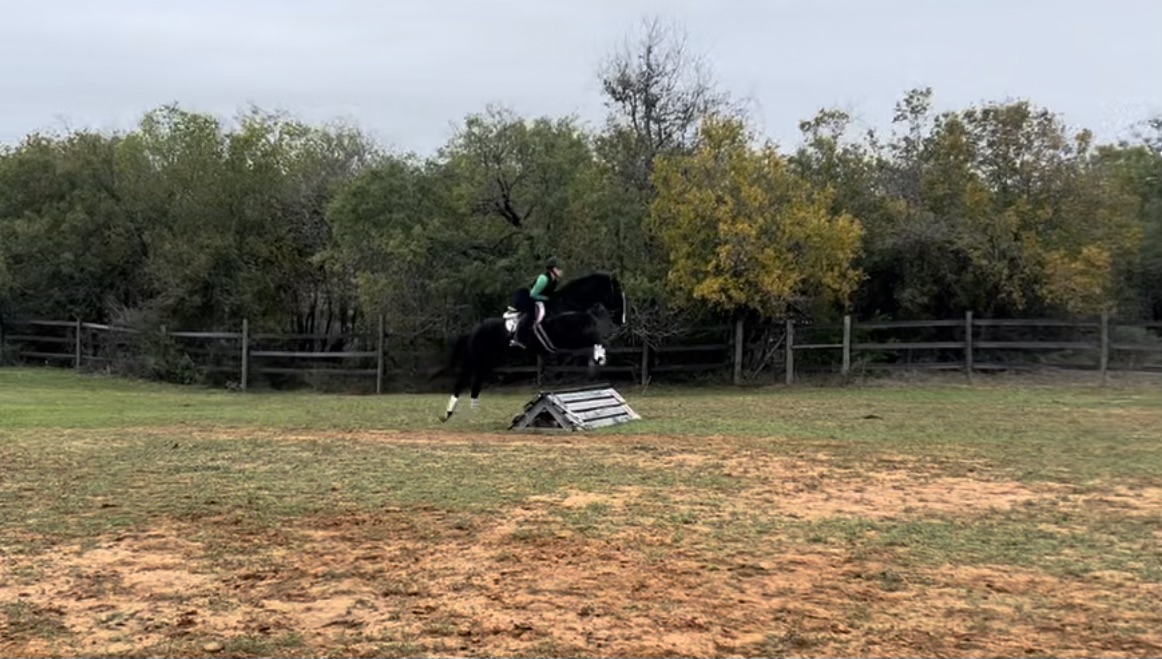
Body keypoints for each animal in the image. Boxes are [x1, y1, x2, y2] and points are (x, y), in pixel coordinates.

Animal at [435, 272, 626, 422]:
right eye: (618, 295)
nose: (621, 322)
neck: (567, 307)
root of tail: (474, 329)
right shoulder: (563, 339)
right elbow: (593, 340)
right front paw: (599, 357)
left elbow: (595, 341)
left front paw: (599, 357)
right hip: (476, 356)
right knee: (463, 379)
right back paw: (448, 413)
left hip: (490, 359)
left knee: (477, 380)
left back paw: (474, 411)